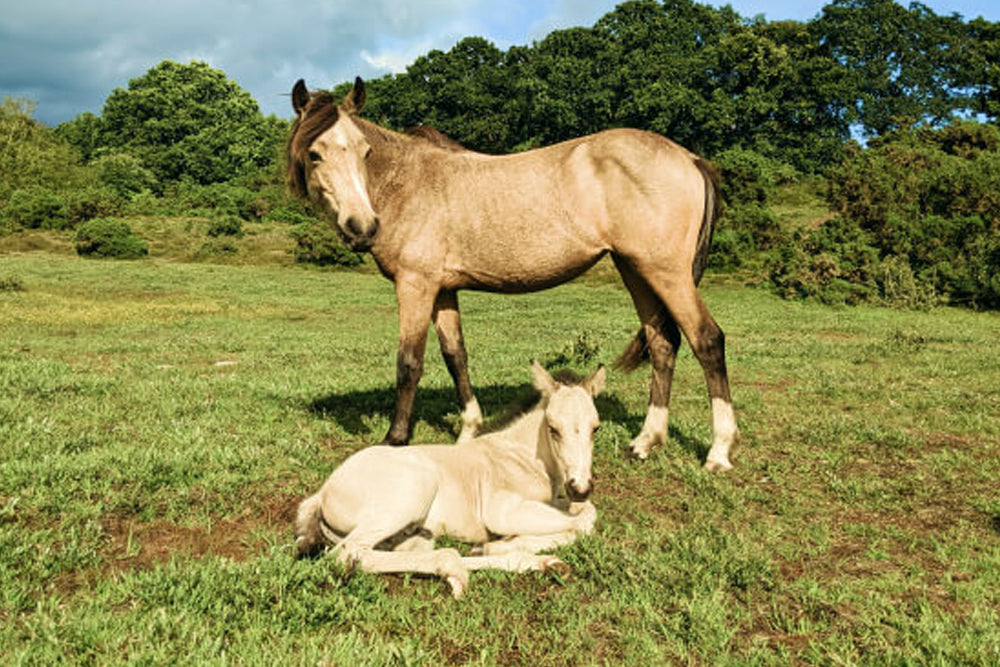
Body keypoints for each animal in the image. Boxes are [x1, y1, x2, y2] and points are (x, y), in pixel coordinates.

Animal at [287, 77, 739, 471]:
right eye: (315, 153)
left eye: (364, 152)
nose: (362, 227)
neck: (409, 183)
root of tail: (689, 158)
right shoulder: (442, 290)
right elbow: (455, 355)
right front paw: (470, 430)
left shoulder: (415, 285)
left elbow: (409, 361)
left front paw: (395, 439)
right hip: (636, 270)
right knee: (663, 344)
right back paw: (646, 441)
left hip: (666, 273)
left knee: (707, 340)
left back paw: (718, 451)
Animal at [295, 361, 605, 598]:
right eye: (553, 429)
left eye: (596, 428)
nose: (580, 487)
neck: (520, 455)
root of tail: (322, 493)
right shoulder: (502, 511)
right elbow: (582, 522)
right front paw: (506, 541)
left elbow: (586, 512)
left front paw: (504, 545)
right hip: (413, 492)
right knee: (348, 553)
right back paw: (456, 566)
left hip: (415, 536)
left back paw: (540, 563)